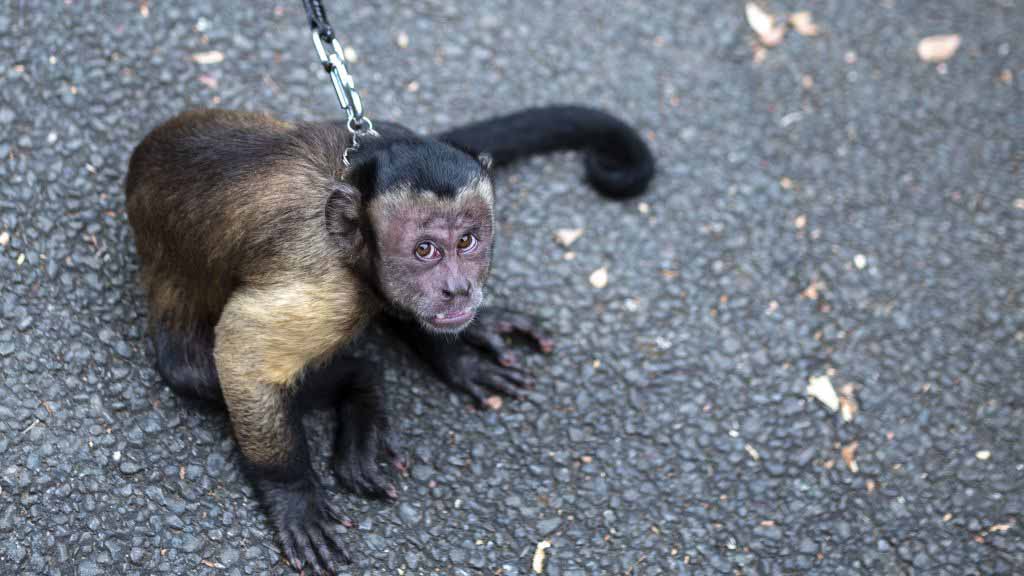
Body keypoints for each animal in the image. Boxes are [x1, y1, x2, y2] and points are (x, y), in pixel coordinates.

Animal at [124, 104, 653, 573]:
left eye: (467, 241)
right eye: (425, 250)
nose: (458, 288)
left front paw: (456, 357)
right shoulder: (327, 291)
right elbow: (242, 355)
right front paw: (292, 495)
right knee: (192, 371)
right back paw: (359, 383)